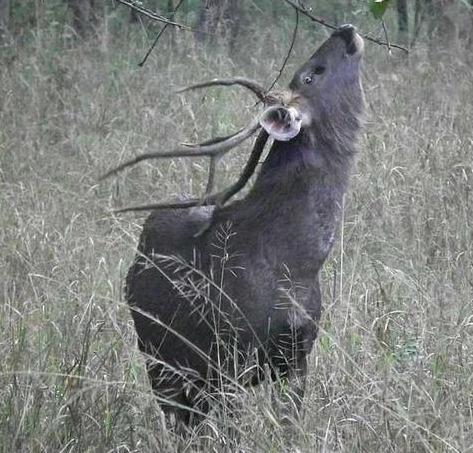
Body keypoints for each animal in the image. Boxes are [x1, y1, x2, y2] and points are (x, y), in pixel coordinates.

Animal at [105, 24, 366, 426]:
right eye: (312, 74)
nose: (345, 29)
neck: (295, 262)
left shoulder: (298, 354)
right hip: (158, 355)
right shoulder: (228, 356)